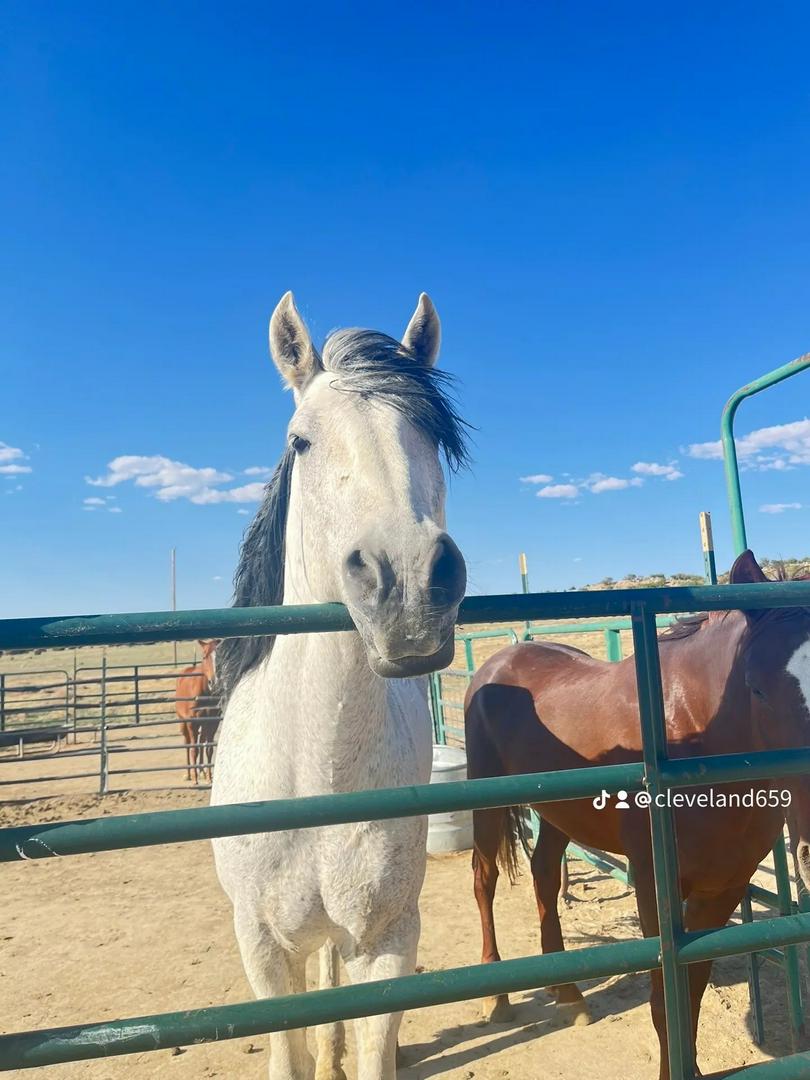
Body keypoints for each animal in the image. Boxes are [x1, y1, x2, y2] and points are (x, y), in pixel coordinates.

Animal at [176, 639, 220, 784]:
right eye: (204, 656)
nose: (214, 682)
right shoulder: (192, 723)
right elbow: (194, 749)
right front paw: (195, 778)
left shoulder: (212, 722)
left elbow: (208, 749)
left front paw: (209, 777)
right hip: (183, 722)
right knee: (188, 743)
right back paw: (189, 774)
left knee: (201, 741)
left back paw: (202, 772)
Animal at [210, 292, 468, 1080]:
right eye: (300, 442)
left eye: (432, 435)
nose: (409, 584)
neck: (316, 770)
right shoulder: (262, 948)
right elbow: (287, 1055)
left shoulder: (388, 939)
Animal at [465, 550, 810, 1080]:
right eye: (756, 689)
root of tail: (498, 663)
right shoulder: (653, 887)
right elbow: (665, 1000)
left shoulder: (725, 887)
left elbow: (692, 989)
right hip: (487, 804)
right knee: (484, 879)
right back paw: (496, 996)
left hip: (560, 814)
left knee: (544, 874)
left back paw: (567, 993)